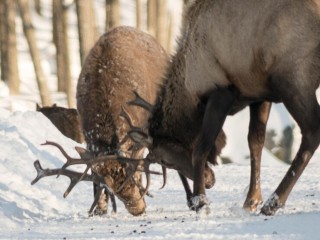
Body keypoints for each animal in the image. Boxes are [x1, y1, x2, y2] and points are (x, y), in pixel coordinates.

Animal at [127, 0, 320, 216]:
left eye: (164, 161)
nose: (209, 180)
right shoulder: (259, 94)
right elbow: (255, 142)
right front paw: (251, 200)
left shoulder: (221, 92)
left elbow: (201, 147)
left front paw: (201, 202)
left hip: (293, 79)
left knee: (312, 132)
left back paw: (274, 202)